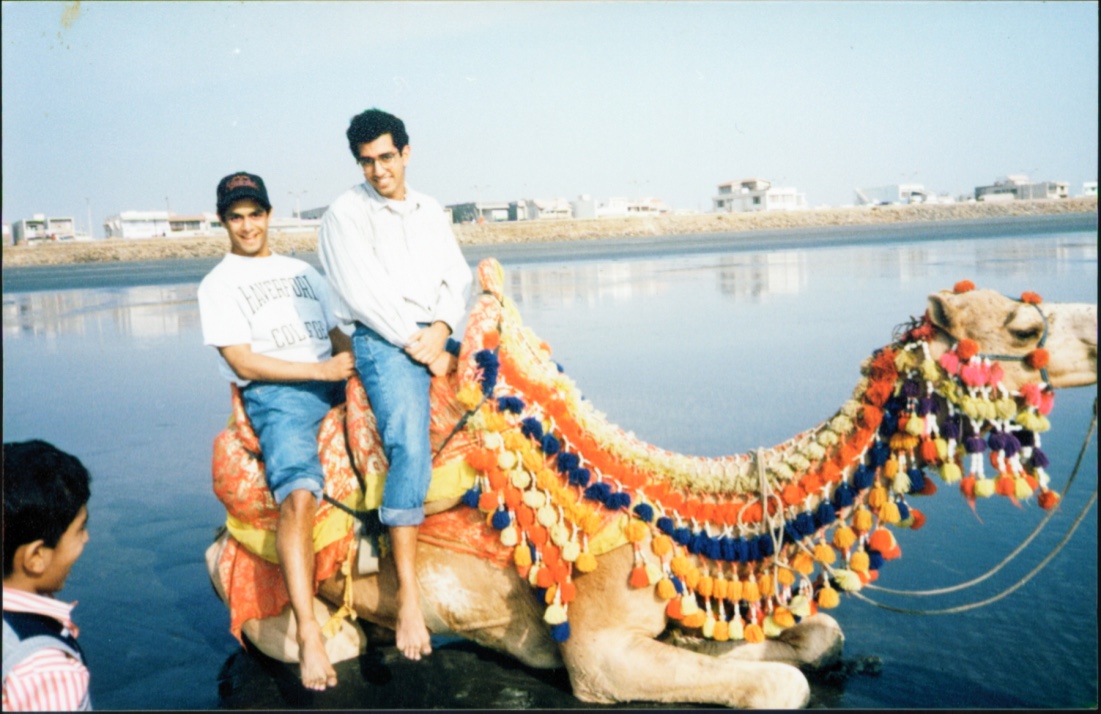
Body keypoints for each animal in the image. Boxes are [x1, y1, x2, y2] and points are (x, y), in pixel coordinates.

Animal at [204, 256, 1092, 708]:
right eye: (1024, 328)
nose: (1092, 335)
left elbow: (816, 637)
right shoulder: (597, 653)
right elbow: (777, 686)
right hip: (263, 581)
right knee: (326, 636)